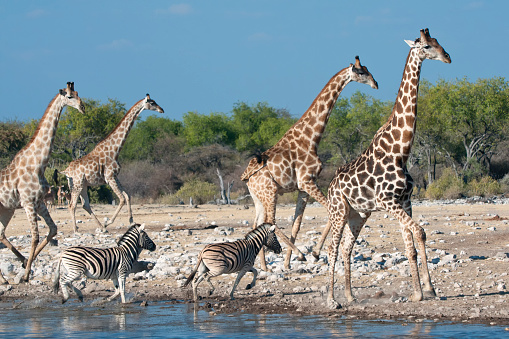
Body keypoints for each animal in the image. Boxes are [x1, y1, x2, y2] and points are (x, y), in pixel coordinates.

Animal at [0, 82, 85, 284]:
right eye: (69, 96)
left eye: (78, 93)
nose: (83, 107)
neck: (37, 163)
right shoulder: (28, 203)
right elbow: (35, 236)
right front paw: (25, 275)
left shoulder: (39, 203)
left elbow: (53, 230)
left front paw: (26, 265)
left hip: (6, 209)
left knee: (0, 234)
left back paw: (5, 278)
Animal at [62, 95, 164, 234]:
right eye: (152, 103)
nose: (162, 110)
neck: (115, 150)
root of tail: (66, 171)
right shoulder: (109, 177)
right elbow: (121, 199)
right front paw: (109, 222)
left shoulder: (115, 176)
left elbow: (127, 196)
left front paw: (131, 221)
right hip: (77, 184)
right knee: (72, 205)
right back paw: (76, 229)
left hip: (83, 185)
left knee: (85, 204)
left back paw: (101, 228)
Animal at [241, 57, 378, 272]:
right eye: (362, 72)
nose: (376, 84)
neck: (312, 138)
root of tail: (247, 177)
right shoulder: (308, 181)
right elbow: (329, 211)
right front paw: (313, 253)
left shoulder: (303, 187)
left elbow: (297, 224)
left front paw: (288, 262)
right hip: (271, 192)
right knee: (270, 221)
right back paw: (298, 254)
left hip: (258, 197)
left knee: (258, 223)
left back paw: (264, 266)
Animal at [326, 29, 448, 310]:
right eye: (427, 46)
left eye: (438, 42)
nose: (447, 57)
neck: (400, 151)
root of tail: (329, 187)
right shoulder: (389, 202)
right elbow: (419, 232)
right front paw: (421, 292)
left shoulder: (405, 202)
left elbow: (413, 244)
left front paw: (425, 291)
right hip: (338, 211)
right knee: (332, 248)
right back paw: (331, 299)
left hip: (358, 214)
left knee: (347, 247)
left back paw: (350, 296)